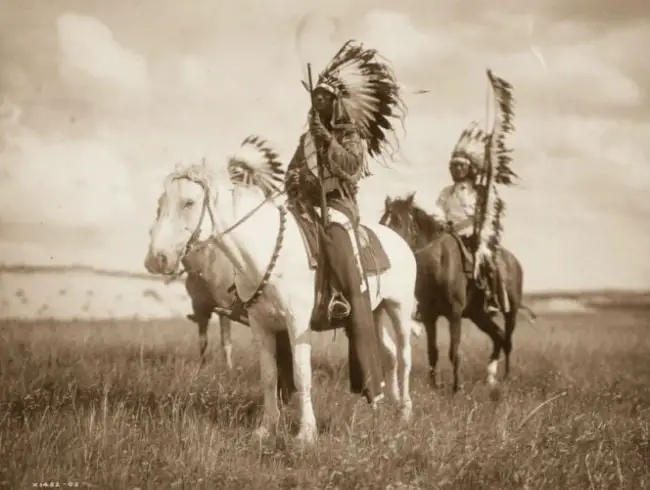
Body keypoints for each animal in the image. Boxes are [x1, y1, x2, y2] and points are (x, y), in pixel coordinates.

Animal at [380, 192, 532, 394]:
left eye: (398, 221)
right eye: (382, 222)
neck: (439, 264)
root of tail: (514, 262)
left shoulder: (454, 314)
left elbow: (454, 352)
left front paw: (457, 388)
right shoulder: (429, 316)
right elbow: (433, 352)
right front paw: (434, 386)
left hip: (510, 313)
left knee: (507, 340)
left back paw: (506, 377)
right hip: (478, 315)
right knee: (498, 337)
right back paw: (490, 378)